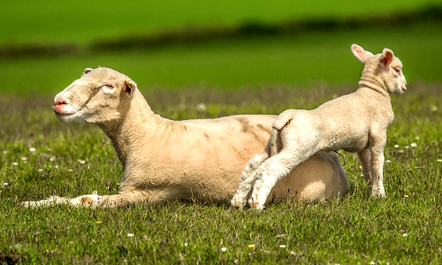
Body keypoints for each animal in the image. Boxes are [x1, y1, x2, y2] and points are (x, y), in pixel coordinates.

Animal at [20, 66, 348, 206]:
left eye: (108, 87)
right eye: (83, 75)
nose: (59, 101)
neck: (149, 134)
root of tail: (337, 166)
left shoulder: (150, 193)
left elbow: (87, 201)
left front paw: (38, 204)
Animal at [231, 43, 408, 208]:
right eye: (397, 69)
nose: (405, 87)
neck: (373, 92)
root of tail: (287, 116)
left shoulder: (362, 145)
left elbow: (366, 168)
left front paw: (372, 192)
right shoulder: (379, 134)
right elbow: (377, 165)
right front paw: (380, 196)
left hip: (275, 143)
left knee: (255, 164)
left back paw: (238, 201)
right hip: (297, 147)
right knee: (271, 167)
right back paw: (256, 204)